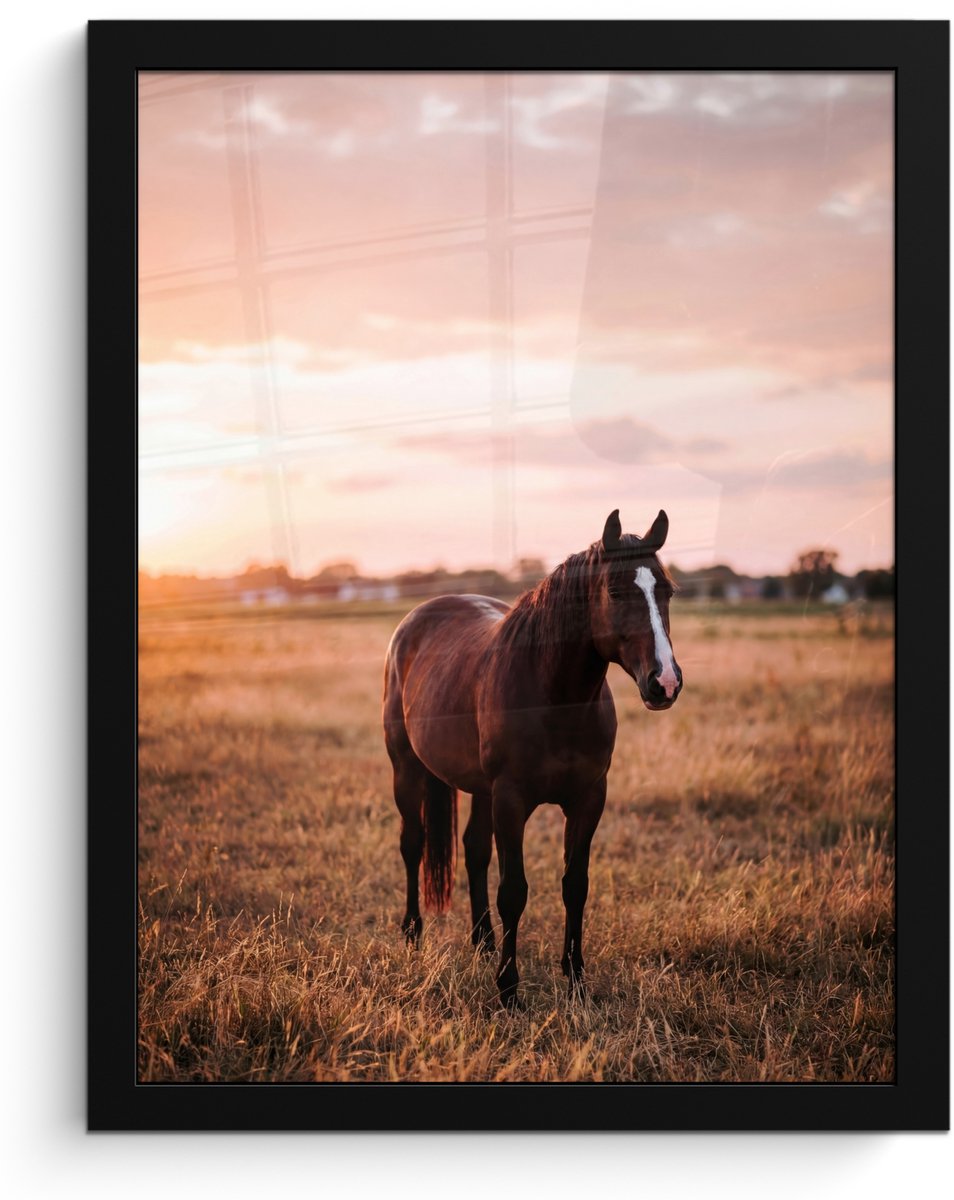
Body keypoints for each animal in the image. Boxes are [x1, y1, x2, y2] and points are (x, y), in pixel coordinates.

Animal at [382, 509, 683, 1008]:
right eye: (616, 590)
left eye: (667, 590)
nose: (665, 683)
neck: (554, 698)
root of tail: (416, 619)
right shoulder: (511, 800)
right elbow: (514, 892)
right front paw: (508, 990)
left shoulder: (588, 799)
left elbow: (575, 885)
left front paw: (576, 980)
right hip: (407, 770)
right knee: (413, 843)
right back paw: (412, 934)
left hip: (479, 789)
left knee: (474, 849)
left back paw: (483, 941)